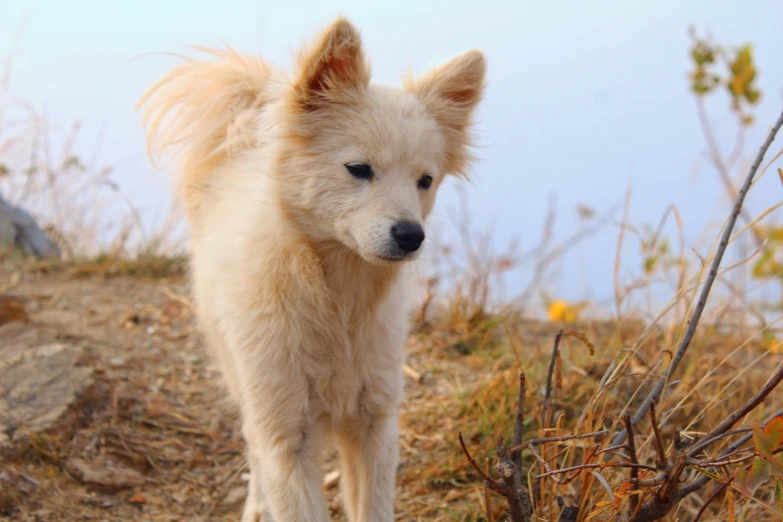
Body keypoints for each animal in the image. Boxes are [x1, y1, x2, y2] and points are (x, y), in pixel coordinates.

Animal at [138, 16, 486, 520]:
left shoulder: (374, 423)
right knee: (252, 449)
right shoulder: (287, 435)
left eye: (425, 180)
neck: (335, 299)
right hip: (245, 384)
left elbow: (373, 507)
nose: (411, 235)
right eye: (358, 168)